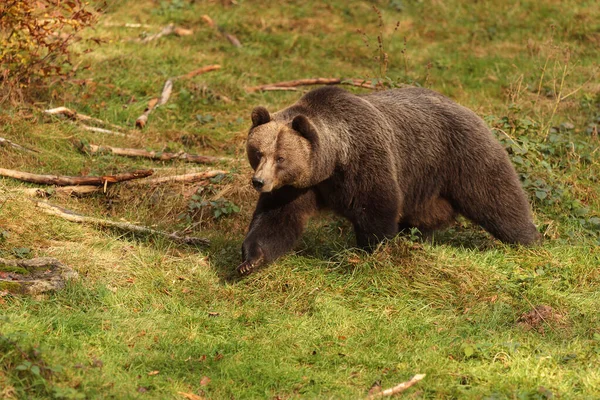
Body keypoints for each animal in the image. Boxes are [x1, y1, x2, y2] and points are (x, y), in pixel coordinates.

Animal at [237, 85, 540, 276]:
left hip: (462, 154)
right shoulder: (298, 187)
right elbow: (276, 219)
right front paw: (250, 260)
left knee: (497, 197)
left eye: (281, 158)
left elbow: (376, 208)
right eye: (258, 152)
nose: (259, 182)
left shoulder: (366, 161)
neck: (332, 162)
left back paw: (529, 239)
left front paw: (371, 252)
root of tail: (465, 107)